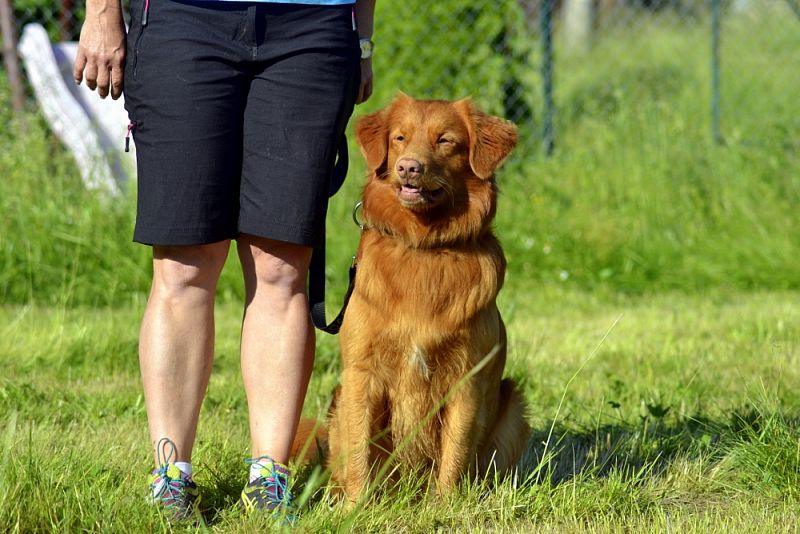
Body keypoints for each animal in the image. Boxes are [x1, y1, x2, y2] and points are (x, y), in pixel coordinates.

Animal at [324, 94, 532, 504]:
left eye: (445, 141)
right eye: (400, 138)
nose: (408, 167)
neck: (423, 247)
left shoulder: (466, 377)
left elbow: (455, 448)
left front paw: (445, 506)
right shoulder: (361, 373)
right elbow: (359, 449)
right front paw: (355, 507)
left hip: (513, 406)